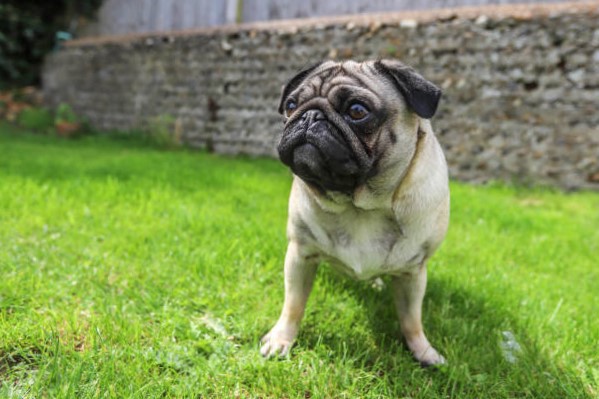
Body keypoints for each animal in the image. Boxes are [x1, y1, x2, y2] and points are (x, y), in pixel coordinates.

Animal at [262, 59, 450, 368]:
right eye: (290, 105)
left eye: (357, 111)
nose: (310, 115)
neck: (360, 206)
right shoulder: (301, 255)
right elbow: (293, 304)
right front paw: (281, 339)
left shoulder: (412, 272)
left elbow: (412, 319)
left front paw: (422, 351)